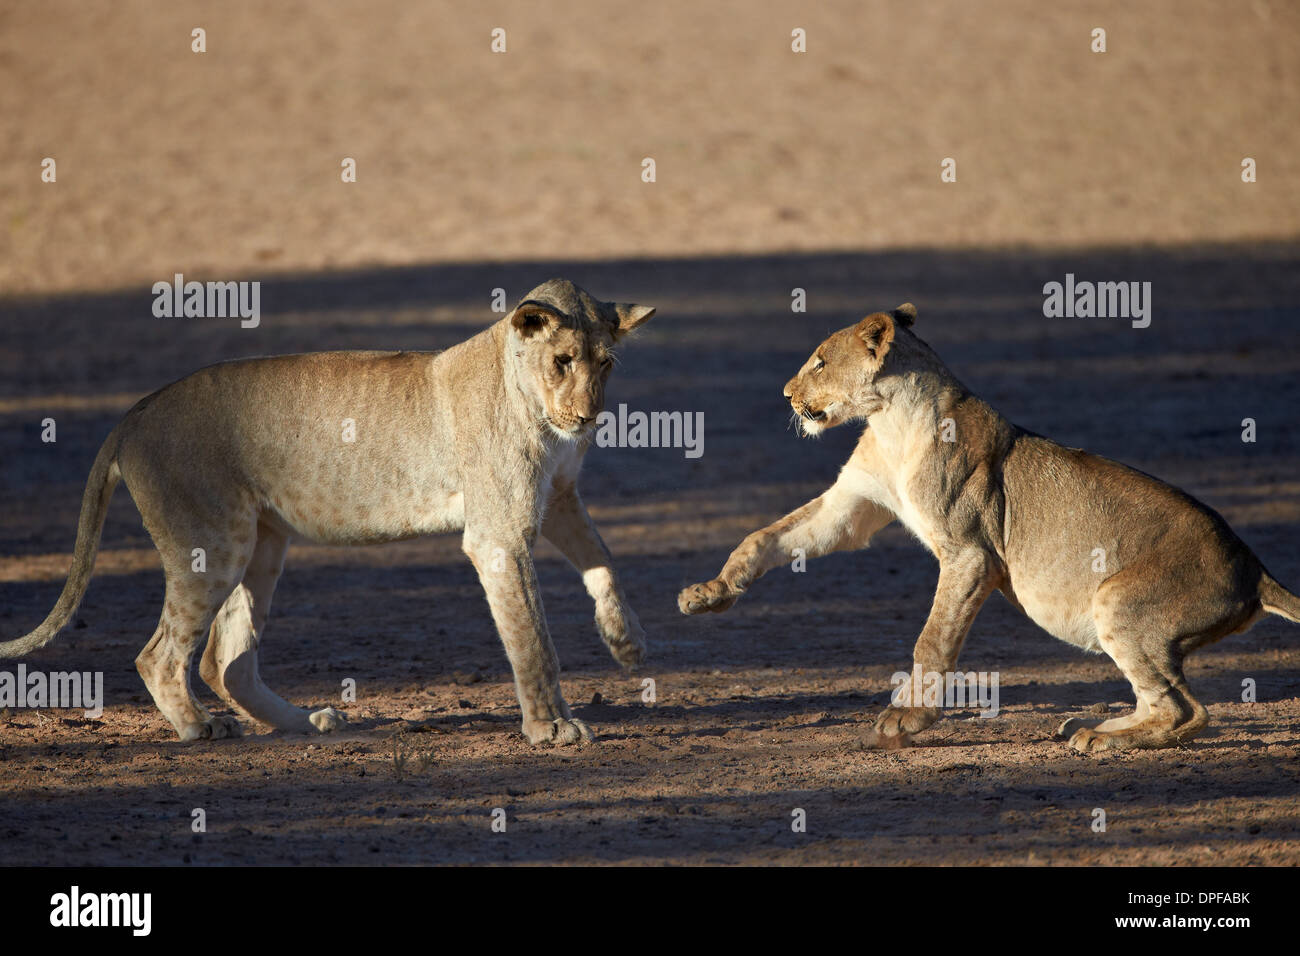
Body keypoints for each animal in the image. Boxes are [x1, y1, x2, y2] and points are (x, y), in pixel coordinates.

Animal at [0, 280, 650, 743]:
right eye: (562, 359)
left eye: (606, 364)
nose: (589, 417)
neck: (535, 404)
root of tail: (135, 411)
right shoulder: (500, 532)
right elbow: (532, 634)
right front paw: (551, 726)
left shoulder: (559, 499)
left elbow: (605, 559)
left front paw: (625, 641)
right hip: (214, 543)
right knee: (161, 655)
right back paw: (200, 726)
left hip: (261, 543)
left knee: (225, 661)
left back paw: (307, 721)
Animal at [681, 303, 1300, 749]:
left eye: (819, 362)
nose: (786, 395)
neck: (890, 422)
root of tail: (1254, 567)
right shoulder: (851, 507)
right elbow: (765, 537)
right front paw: (710, 593)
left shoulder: (971, 553)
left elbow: (932, 639)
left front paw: (906, 721)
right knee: (1164, 701)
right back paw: (1090, 727)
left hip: (1117, 599)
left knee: (1188, 710)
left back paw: (1104, 741)